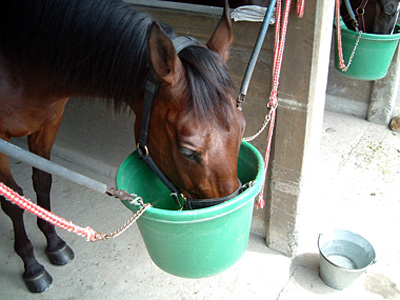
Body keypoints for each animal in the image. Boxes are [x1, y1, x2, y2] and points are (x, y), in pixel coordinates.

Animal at [0, 0, 245, 292]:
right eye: (187, 151)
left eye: (242, 127)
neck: (22, 65)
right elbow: (13, 201)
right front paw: (32, 266)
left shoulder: (49, 124)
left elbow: (43, 181)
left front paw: (54, 243)